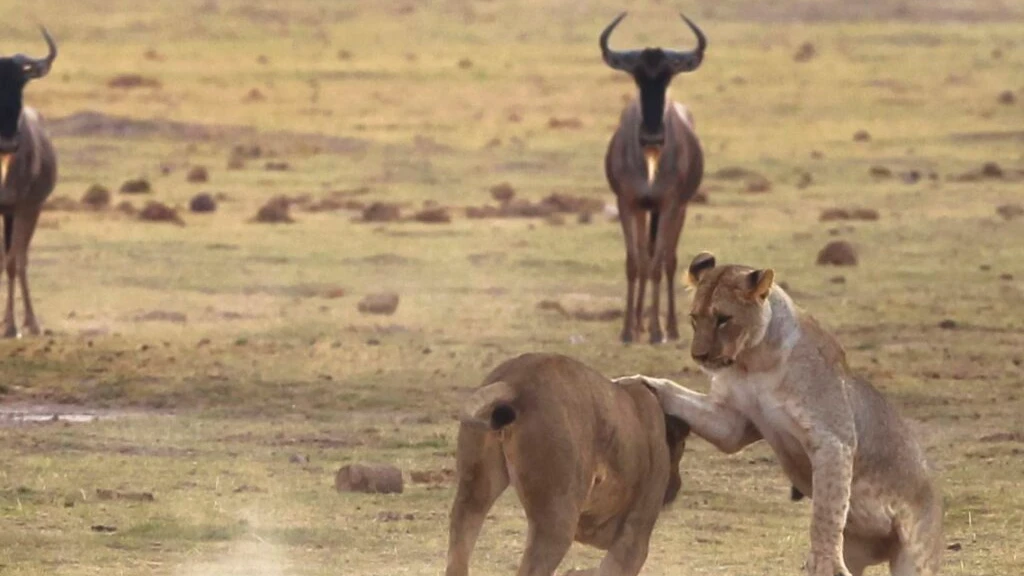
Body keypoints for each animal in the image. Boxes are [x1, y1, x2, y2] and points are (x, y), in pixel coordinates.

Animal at [445, 352, 690, 576]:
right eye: (681, 448)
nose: (677, 485)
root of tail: (515, 382)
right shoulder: (633, 539)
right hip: (556, 519)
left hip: (474, 493)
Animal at [616, 252, 943, 576]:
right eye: (695, 318)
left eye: (724, 319)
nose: (699, 356)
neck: (752, 360)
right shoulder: (732, 422)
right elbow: (675, 392)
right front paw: (633, 381)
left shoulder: (834, 439)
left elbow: (826, 511)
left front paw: (824, 563)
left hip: (914, 553)